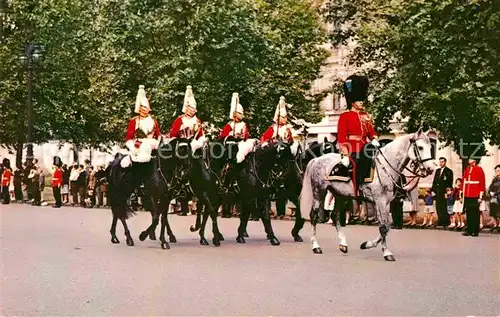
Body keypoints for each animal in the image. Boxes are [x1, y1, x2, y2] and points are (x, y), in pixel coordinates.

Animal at [298, 130, 436, 260]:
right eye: (420, 147)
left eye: (430, 147)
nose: (430, 169)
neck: (386, 167)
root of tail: (317, 159)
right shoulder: (380, 201)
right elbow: (383, 227)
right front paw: (386, 252)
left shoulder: (386, 202)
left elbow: (387, 225)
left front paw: (367, 244)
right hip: (319, 191)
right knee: (314, 216)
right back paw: (316, 246)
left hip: (341, 195)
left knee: (335, 215)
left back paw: (343, 244)